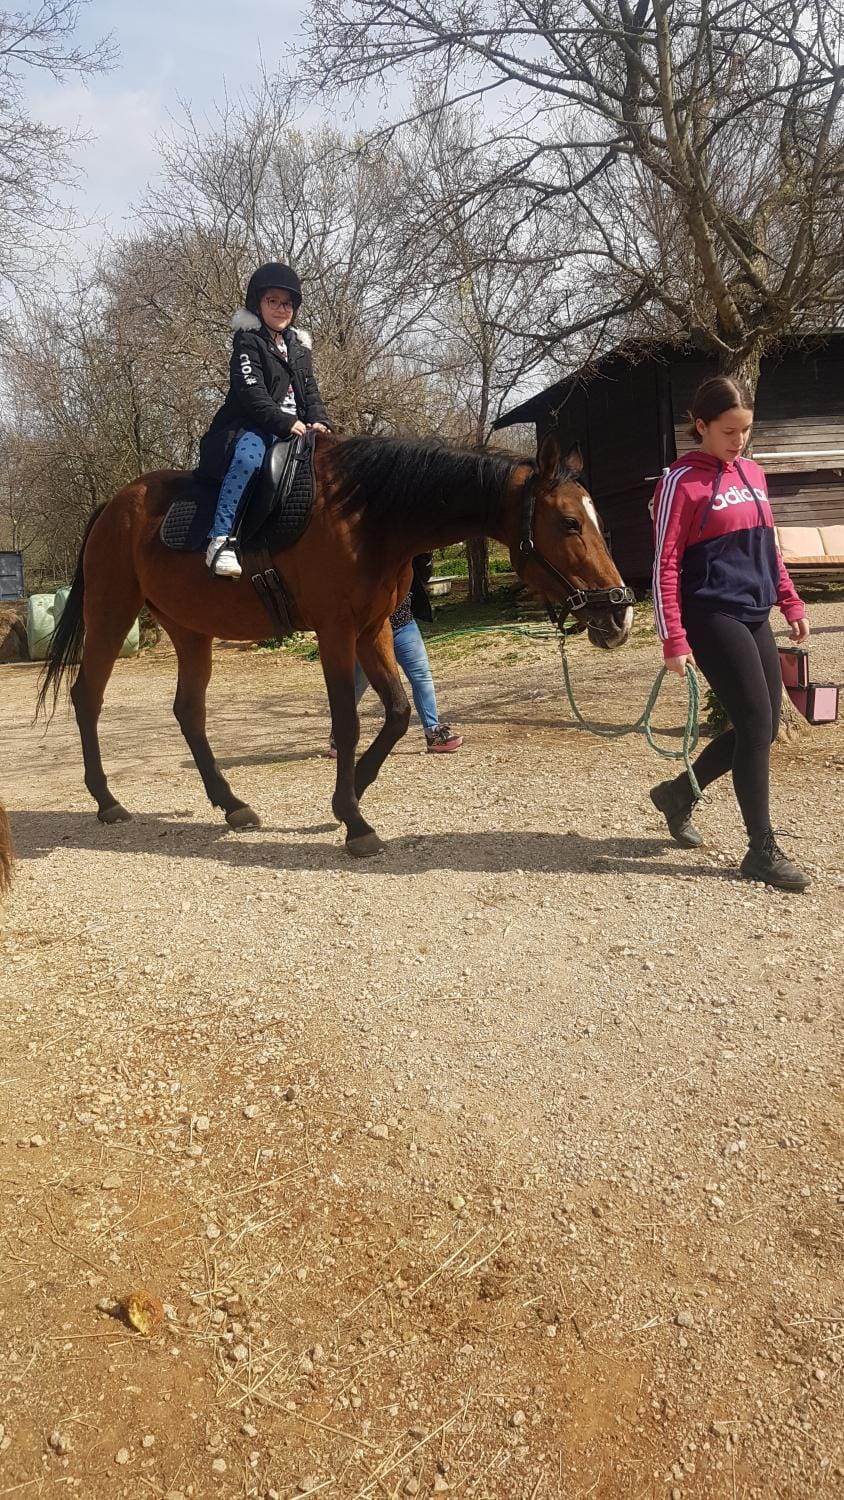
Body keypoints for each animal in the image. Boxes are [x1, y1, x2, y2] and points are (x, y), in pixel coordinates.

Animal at [37, 431, 634, 856]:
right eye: (570, 522)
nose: (620, 611)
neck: (369, 517)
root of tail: (115, 505)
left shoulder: (374, 629)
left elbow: (397, 711)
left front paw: (355, 793)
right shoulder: (336, 632)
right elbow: (347, 722)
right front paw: (355, 821)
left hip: (189, 630)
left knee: (189, 711)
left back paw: (231, 804)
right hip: (111, 614)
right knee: (87, 698)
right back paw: (107, 800)